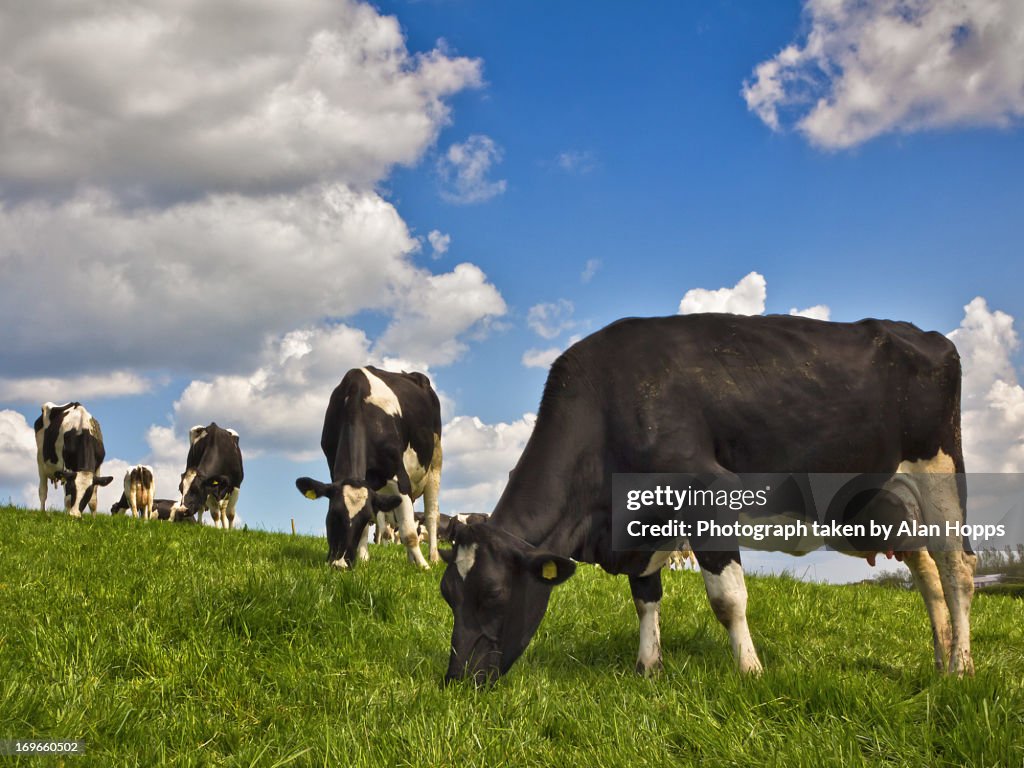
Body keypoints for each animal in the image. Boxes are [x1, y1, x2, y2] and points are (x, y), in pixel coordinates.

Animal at [294, 366, 442, 573]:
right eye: (333, 515)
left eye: (364, 519)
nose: (340, 564)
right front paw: (363, 559)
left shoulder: (400, 477)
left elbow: (409, 533)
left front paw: (424, 566)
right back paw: (410, 559)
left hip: (435, 460)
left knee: (431, 514)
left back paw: (432, 558)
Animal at [438, 315, 974, 688]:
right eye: (447, 594)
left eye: (493, 594)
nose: (457, 682)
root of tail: (921, 333)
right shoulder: (641, 524)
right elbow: (645, 598)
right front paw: (648, 668)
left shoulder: (708, 494)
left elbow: (727, 600)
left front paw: (751, 672)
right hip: (886, 504)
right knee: (927, 573)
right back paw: (940, 658)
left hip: (940, 470)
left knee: (956, 571)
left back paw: (961, 668)